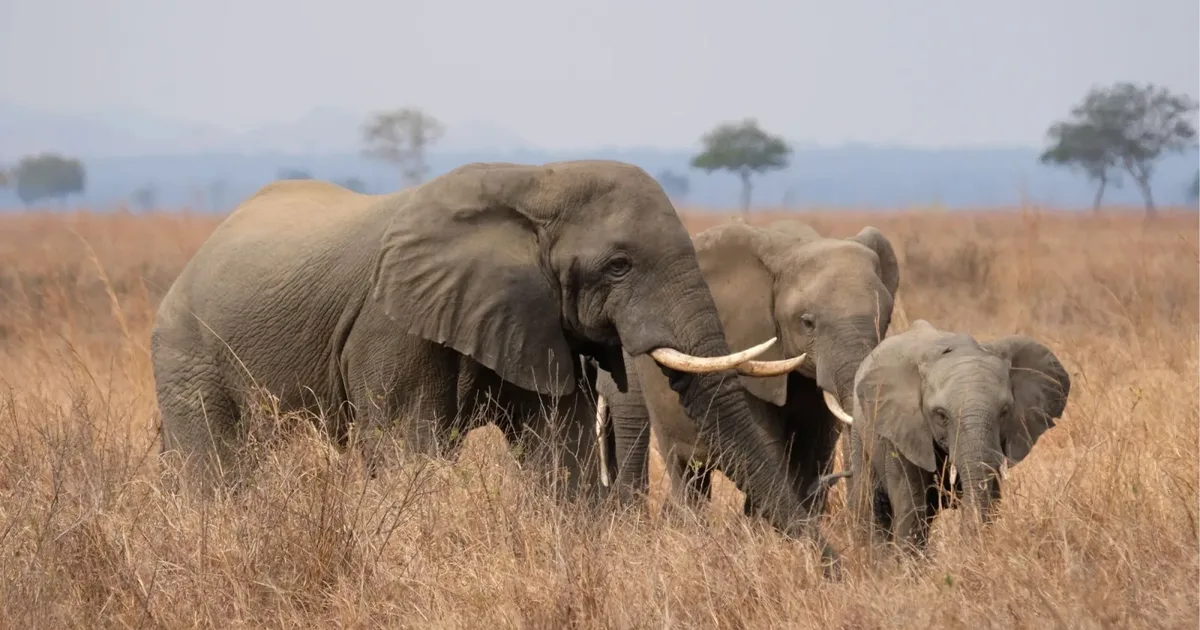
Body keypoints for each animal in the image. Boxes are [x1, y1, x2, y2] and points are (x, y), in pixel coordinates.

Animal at [150, 159, 841, 555]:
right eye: (619, 265)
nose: (826, 561)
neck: (537, 182)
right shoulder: (392, 322)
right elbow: (407, 446)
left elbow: (556, 447)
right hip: (185, 353)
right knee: (219, 464)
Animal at [841, 319, 1071, 552]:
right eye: (941, 415)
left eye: (1005, 411)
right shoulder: (902, 430)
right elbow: (910, 504)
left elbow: (991, 497)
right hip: (859, 434)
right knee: (872, 505)